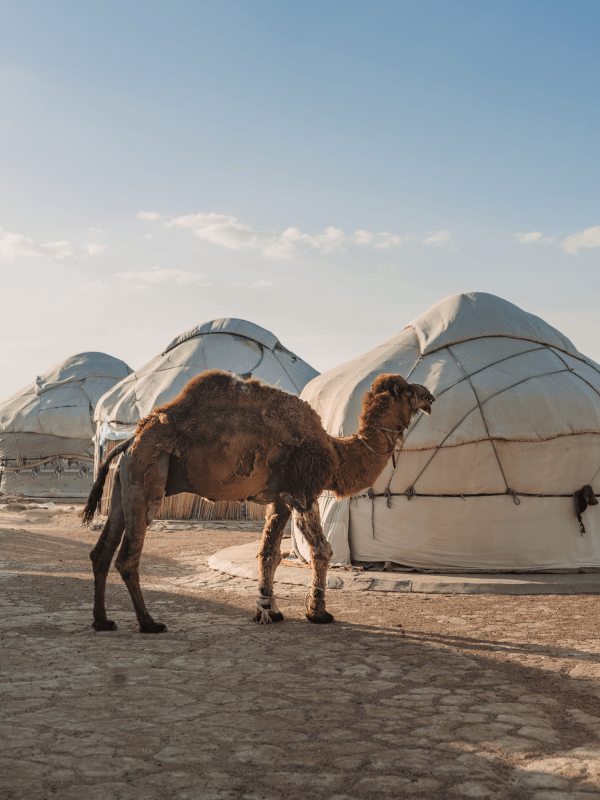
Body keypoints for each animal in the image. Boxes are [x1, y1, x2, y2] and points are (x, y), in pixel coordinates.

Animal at [83, 368, 432, 632]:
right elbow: (321, 550)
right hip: (148, 475)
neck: (336, 454)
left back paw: (102, 621)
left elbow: (269, 554)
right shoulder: (303, 491)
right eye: (405, 391)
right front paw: (317, 612)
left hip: (124, 482)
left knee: (101, 552)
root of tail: (131, 437)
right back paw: (149, 623)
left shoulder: (280, 498)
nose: (429, 395)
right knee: (127, 557)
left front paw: (269, 610)